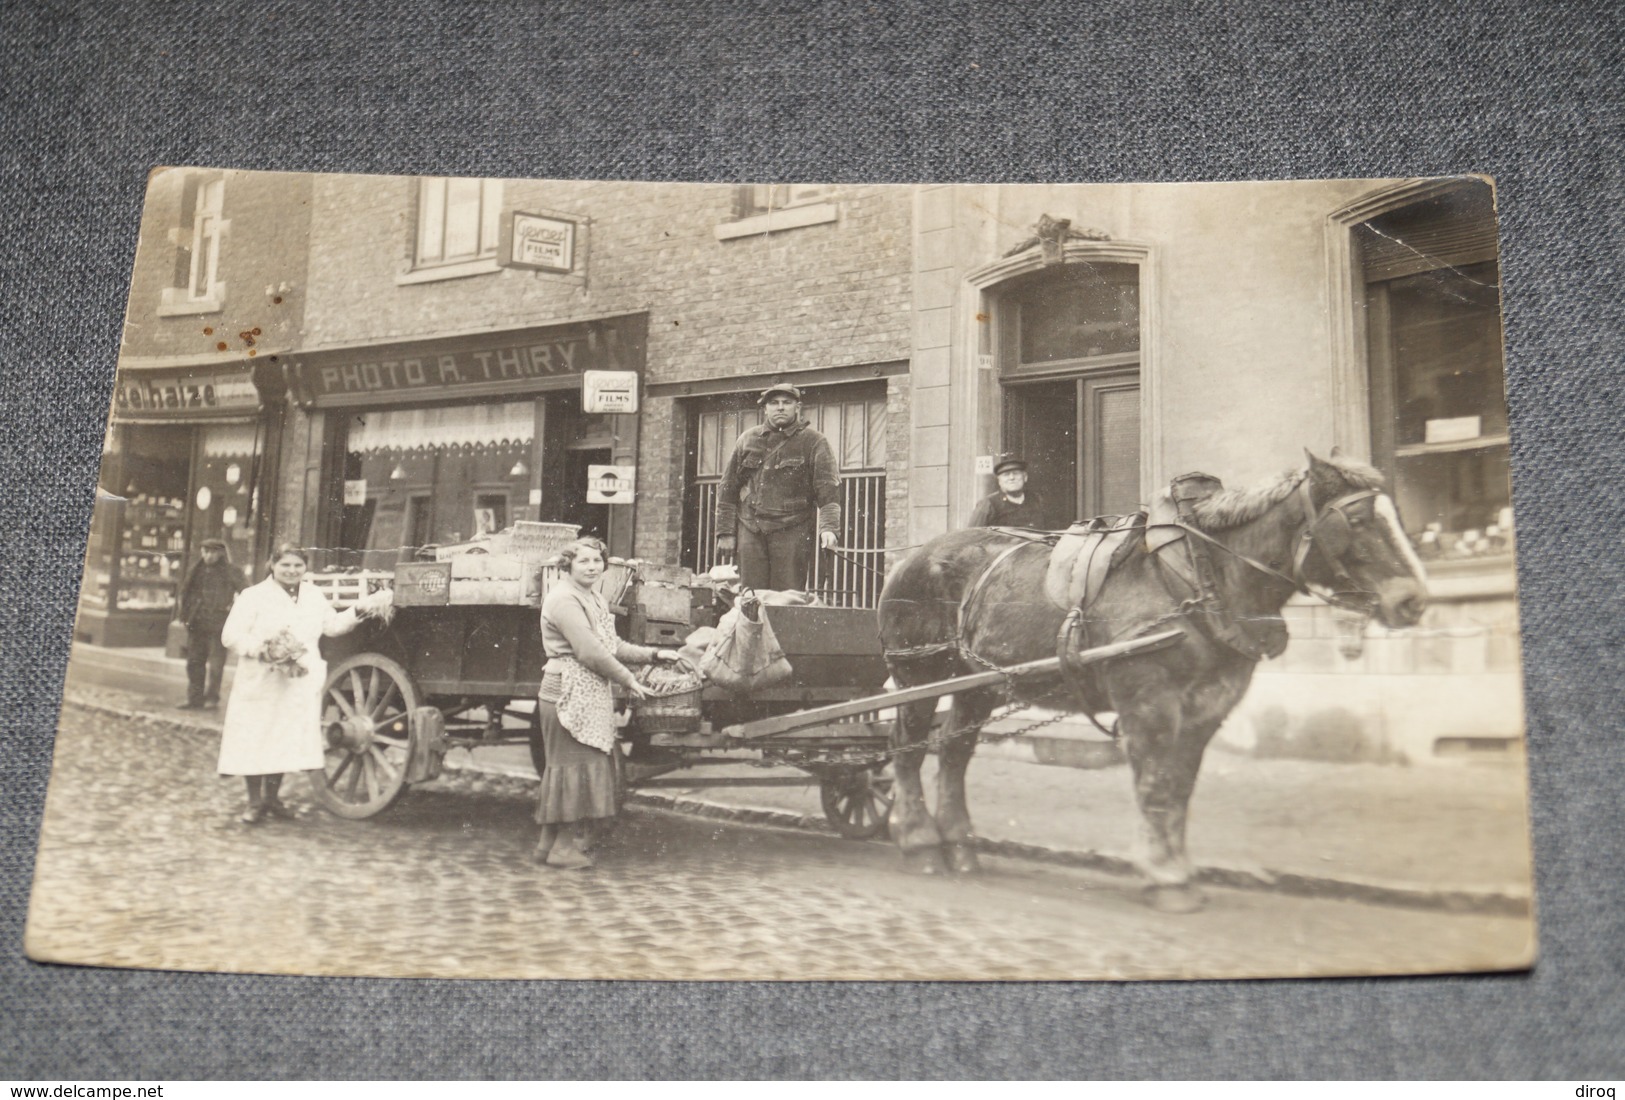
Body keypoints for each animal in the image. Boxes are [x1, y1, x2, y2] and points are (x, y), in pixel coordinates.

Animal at [884, 451, 1430, 916]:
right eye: (1357, 521)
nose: (1413, 601)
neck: (1197, 576)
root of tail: (910, 559)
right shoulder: (1148, 704)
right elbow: (1155, 785)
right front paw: (1163, 878)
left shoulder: (1207, 708)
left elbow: (1180, 789)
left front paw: (1180, 871)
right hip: (917, 675)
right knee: (908, 752)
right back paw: (920, 844)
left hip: (976, 685)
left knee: (954, 754)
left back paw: (960, 845)